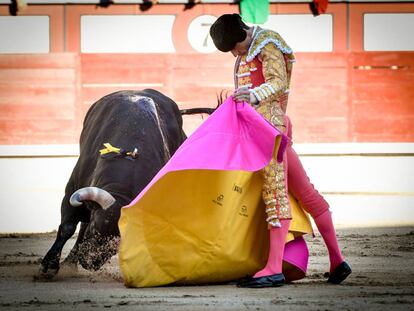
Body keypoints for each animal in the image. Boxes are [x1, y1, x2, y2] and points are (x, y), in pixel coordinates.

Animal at [38, 89, 213, 280]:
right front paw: (48, 266)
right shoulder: (72, 188)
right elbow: (68, 227)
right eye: (95, 227)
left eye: (120, 241)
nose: (89, 262)